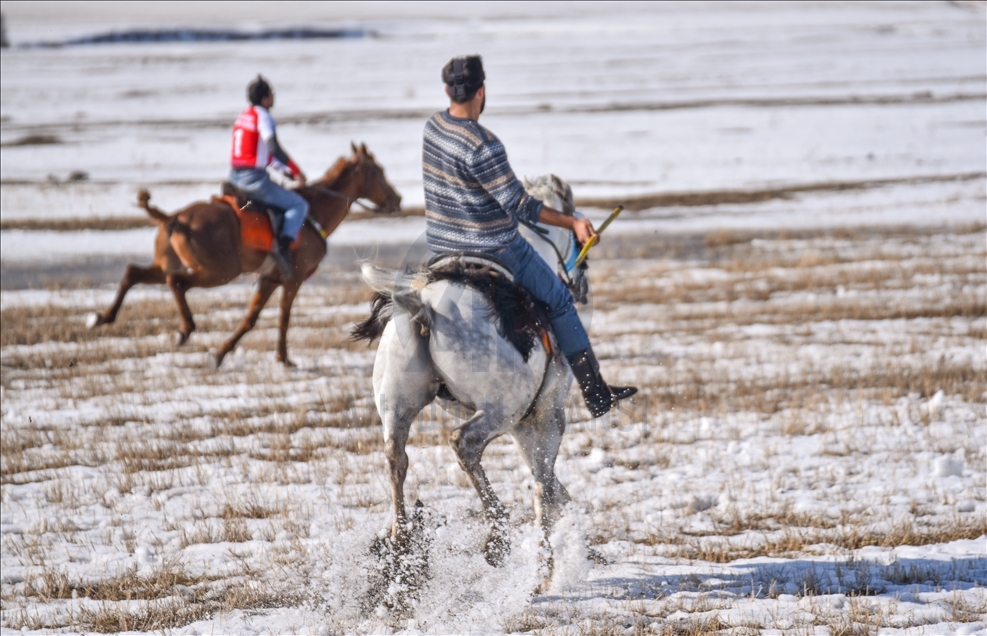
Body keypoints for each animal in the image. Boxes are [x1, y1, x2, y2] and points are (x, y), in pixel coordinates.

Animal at [88, 142, 402, 366]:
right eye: (378, 170)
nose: (397, 200)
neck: (313, 211)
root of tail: (172, 218)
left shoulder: (268, 279)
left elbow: (250, 318)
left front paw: (220, 354)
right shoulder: (293, 279)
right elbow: (283, 318)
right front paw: (284, 359)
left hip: (170, 264)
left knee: (133, 272)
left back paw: (103, 317)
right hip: (218, 272)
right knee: (175, 282)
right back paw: (184, 329)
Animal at [358, 173, 584, 568]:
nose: (581, 283)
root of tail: (422, 304)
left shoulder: (523, 425)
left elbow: (549, 480)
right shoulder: (546, 412)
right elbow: (544, 476)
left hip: (397, 404)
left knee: (395, 457)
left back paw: (401, 544)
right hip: (498, 411)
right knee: (463, 443)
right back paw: (497, 533)